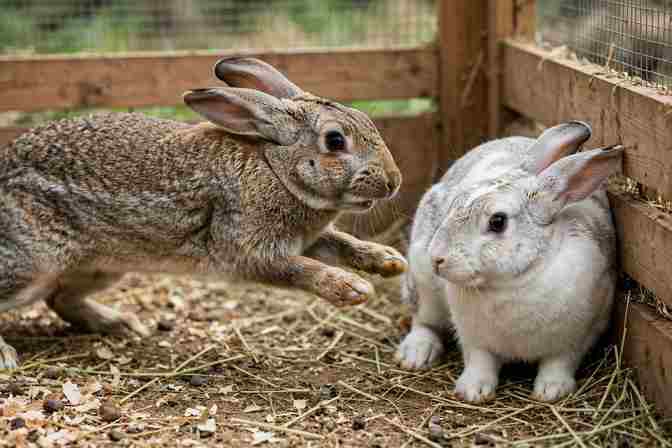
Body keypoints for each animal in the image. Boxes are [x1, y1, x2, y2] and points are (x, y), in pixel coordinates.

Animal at [0, 57, 407, 369]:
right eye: (335, 141)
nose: (393, 181)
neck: (275, 169)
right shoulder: (249, 250)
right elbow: (299, 269)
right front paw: (352, 288)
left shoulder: (306, 238)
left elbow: (342, 243)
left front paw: (389, 260)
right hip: (34, 264)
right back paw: (7, 357)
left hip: (104, 267)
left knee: (60, 299)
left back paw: (122, 324)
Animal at [395, 121, 623, 402]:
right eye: (454, 203)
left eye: (498, 221)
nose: (436, 258)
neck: (515, 281)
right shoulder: (474, 338)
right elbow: (480, 361)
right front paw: (473, 391)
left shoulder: (578, 337)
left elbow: (559, 363)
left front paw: (551, 391)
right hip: (423, 284)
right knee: (423, 321)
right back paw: (416, 354)